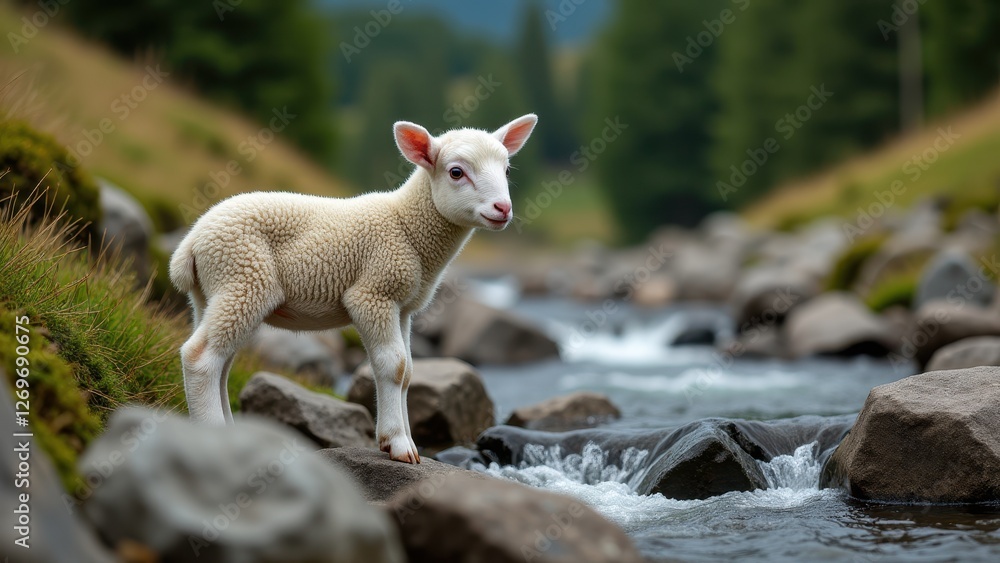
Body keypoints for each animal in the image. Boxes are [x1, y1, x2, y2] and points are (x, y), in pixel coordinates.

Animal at [169, 114, 538, 463]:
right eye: (457, 172)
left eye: (506, 169)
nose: (503, 209)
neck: (407, 226)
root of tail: (191, 245)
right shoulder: (374, 293)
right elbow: (393, 365)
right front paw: (398, 444)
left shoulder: (403, 307)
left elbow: (409, 371)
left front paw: (405, 441)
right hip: (243, 278)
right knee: (200, 357)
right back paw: (214, 436)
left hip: (213, 293)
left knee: (221, 363)